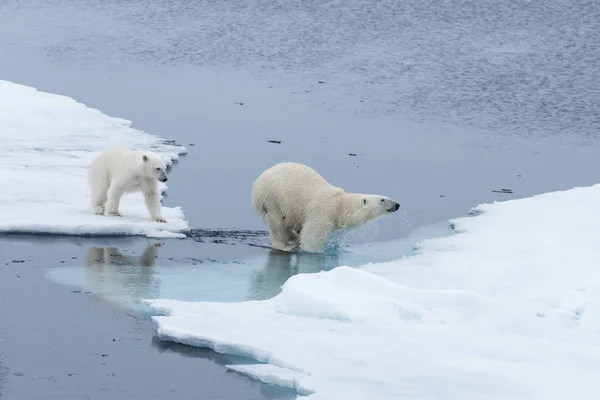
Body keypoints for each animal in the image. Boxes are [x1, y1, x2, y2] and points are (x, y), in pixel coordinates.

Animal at [251, 162, 400, 253]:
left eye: (386, 197)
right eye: (382, 200)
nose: (397, 205)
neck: (341, 206)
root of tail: (256, 183)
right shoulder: (323, 211)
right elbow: (312, 237)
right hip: (272, 197)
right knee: (276, 223)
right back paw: (286, 246)